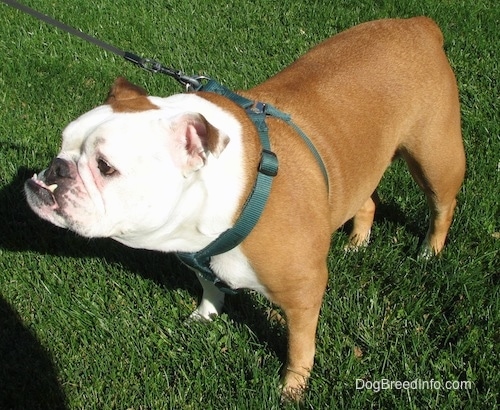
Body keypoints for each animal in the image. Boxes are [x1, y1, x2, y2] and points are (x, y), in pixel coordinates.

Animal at [24, 16, 464, 400]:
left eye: (105, 167)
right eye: (63, 143)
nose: (57, 167)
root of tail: (418, 24)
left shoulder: (303, 293)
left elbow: (300, 346)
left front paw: (292, 388)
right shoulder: (196, 258)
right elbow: (208, 286)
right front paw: (205, 315)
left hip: (435, 157)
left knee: (442, 205)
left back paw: (429, 251)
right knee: (367, 199)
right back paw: (357, 241)